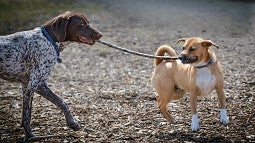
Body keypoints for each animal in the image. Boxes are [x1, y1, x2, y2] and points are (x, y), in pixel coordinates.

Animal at [0, 10, 101, 141]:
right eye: (82, 24)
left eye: (87, 22)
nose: (100, 35)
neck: (49, 39)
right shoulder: (37, 84)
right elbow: (62, 102)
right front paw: (72, 122)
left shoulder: (27, 86)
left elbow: (26, 117)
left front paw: (30, 137)